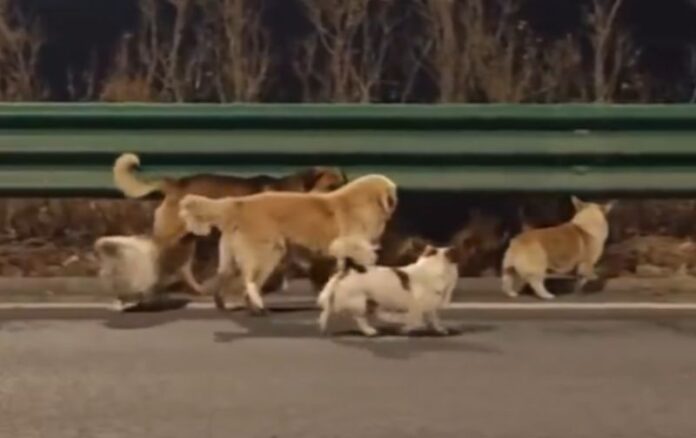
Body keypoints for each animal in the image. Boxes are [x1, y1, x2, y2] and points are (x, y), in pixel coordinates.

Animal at [112, 153, 346, 294]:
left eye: (344, 183)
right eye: (331, 186)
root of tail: (176, 184)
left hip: (189, 239)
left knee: (184, 268)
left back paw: (200, 290)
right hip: (171, 236)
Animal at [178, 174, 398, 313]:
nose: (396, 201)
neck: (363, 202)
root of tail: (238, 203)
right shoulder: (349, 245)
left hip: (230, 259)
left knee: (223, 281)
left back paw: (229, 305)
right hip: (268, 253)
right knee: (248, 282)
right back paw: (256, 304)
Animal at [317, 238, 459, 336]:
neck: (433, 266)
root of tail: (349, 268)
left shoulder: (430, 307)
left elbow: (434, 319)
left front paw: (440, 329)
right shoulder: (416, 307)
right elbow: (416, 321)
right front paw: (406, 329)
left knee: (327, 311)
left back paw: (323, 326)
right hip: (360, 302)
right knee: (359, 318)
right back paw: (370, 331)